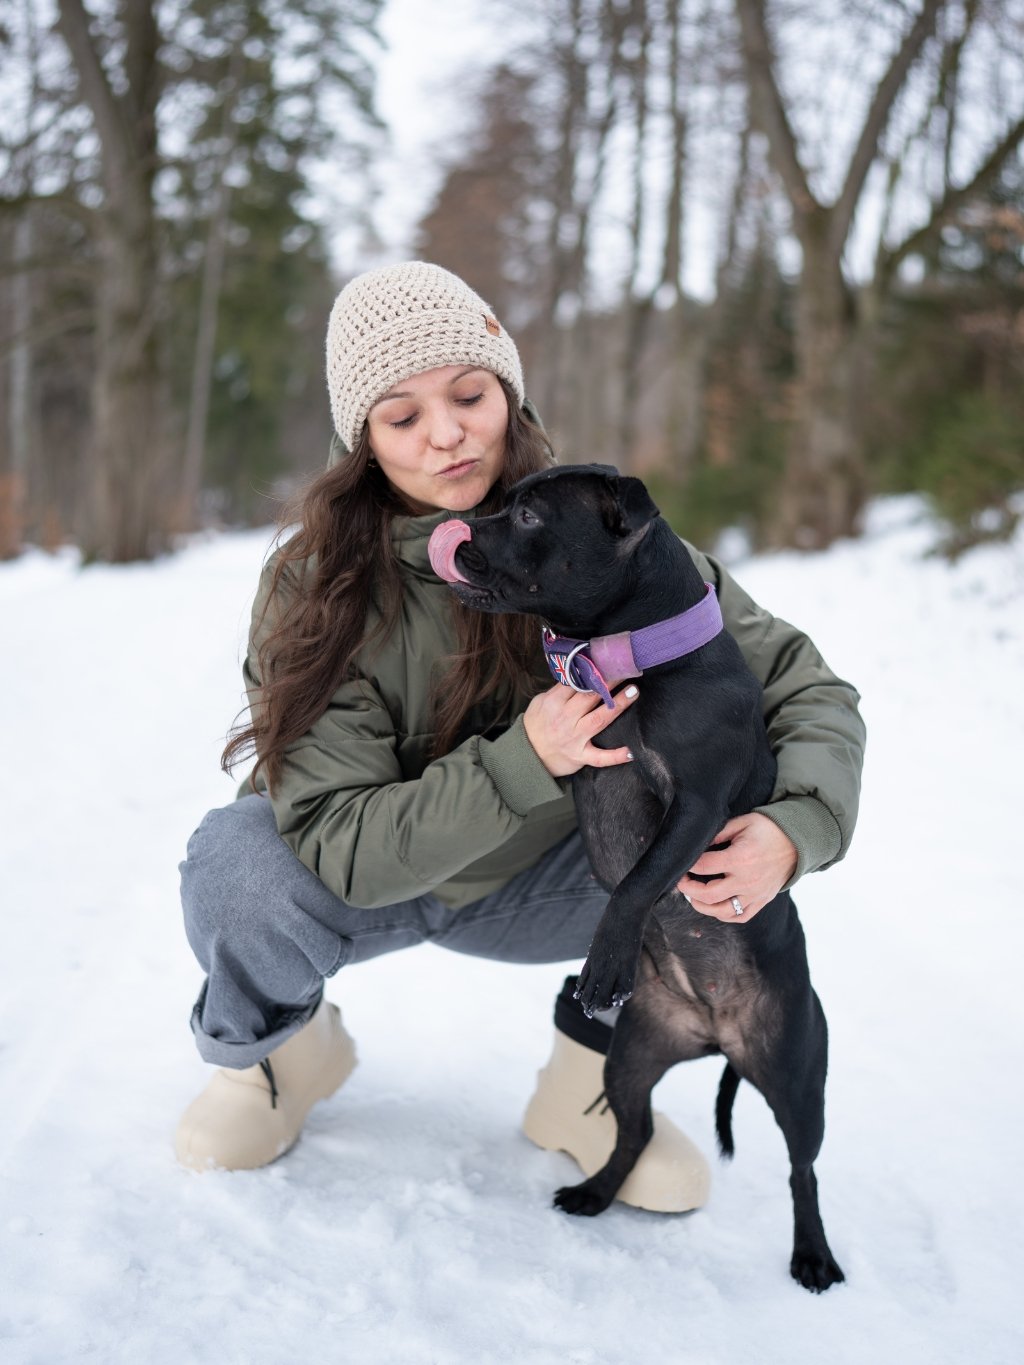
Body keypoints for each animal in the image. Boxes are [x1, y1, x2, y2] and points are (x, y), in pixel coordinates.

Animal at [428, 464, 844, 1292]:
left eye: (528, 514)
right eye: (502, 500)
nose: (453, 529)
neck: (631, 658)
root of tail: (714, 1035)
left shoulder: (698, 805)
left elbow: (636, 882)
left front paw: (605, 962)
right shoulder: (577, 770)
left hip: (794, 1075)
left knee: (802, 1169)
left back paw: (812, 1254)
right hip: (630, 1058)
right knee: (634, 1132)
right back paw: (594, 1193)